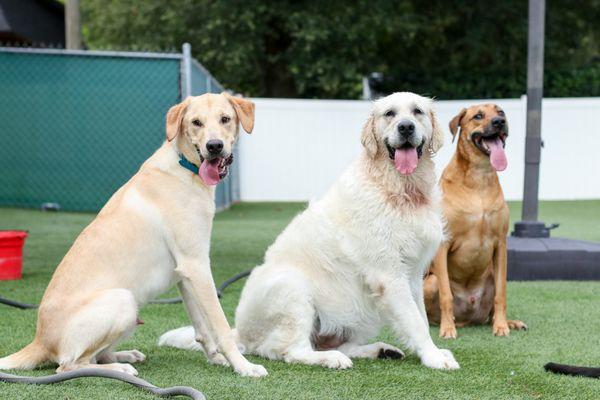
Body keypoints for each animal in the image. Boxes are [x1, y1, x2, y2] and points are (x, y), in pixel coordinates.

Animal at [0, 92, 268, 376]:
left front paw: (216, 358)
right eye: (196, 122)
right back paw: (120, 369)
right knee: (68, 366)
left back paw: (125, 355)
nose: (214, 146)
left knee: (94, 357)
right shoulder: (196, 265)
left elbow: (202, 326)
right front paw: (244, 366)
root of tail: (39, 340)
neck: (185, 167)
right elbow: (221, 325)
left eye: (225, 119)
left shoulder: (186, 272)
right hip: (123, 299)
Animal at [159, 92, 460, 370]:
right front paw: (434, 357)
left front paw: (433, 352)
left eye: (417, 111)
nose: (406, 127)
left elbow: (420, 316)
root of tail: (240, 332)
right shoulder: (389, 274)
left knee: (340, 344)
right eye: (390, 114)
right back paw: (332, 359)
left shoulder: (412, 274)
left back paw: (380, 350)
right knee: (290, 351)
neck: (400, 189)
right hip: (294, 289)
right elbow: (415, 322)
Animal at [424, 103, 528, 338]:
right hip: (431, 281)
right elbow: (446, 295)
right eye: (478, 116)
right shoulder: (442, 244)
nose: (499, 122)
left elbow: (502, 293)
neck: (479, 177)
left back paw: (509, 322)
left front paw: (502, 326)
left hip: (490, 275)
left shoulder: (500, 244)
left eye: (501, 112)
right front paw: (447, 329)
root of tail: (468, 320)